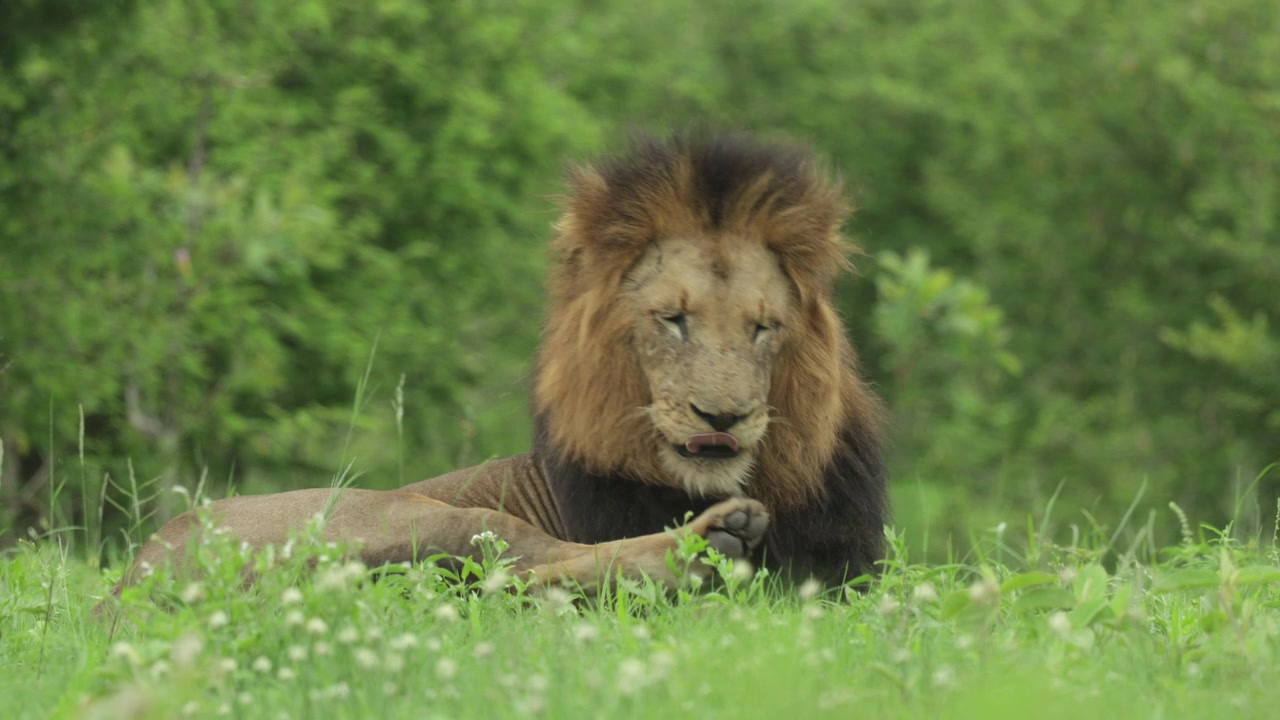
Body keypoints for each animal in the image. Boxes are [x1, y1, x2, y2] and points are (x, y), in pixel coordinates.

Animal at [105, 132, 888, 601]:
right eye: (673, 319)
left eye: (764, 329)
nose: (721, 417)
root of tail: (128, 589)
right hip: (428, 515)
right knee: (519, 570)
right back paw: (709, 547)